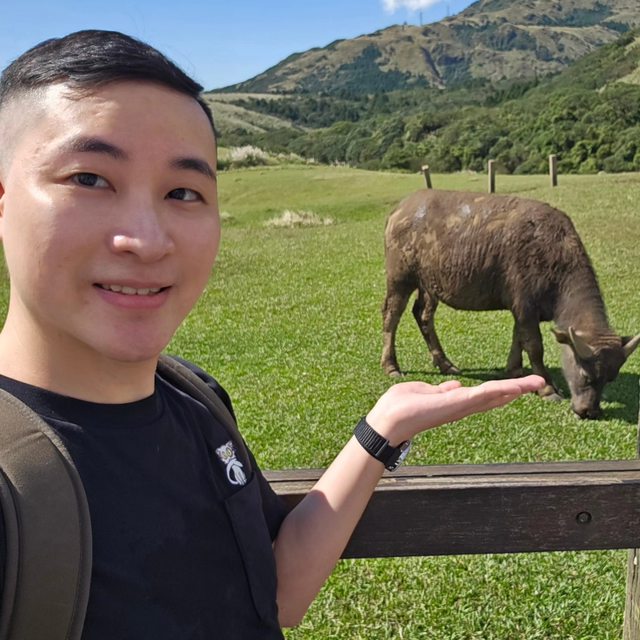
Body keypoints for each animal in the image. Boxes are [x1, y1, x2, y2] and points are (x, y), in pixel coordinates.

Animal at [381, 189, 640, 419]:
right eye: (585, 375)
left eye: (610, 378)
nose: (589, 411)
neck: (554, 257)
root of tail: (399, 210)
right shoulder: (525, 307)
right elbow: (534, 346)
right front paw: (547, 388)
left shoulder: (521, 308)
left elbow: (519, 339)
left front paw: (514, 370)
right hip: (400, 278)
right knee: (391, 316)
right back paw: (391, 365)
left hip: (429, 284)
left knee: (423, 315)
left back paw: (445, 363)